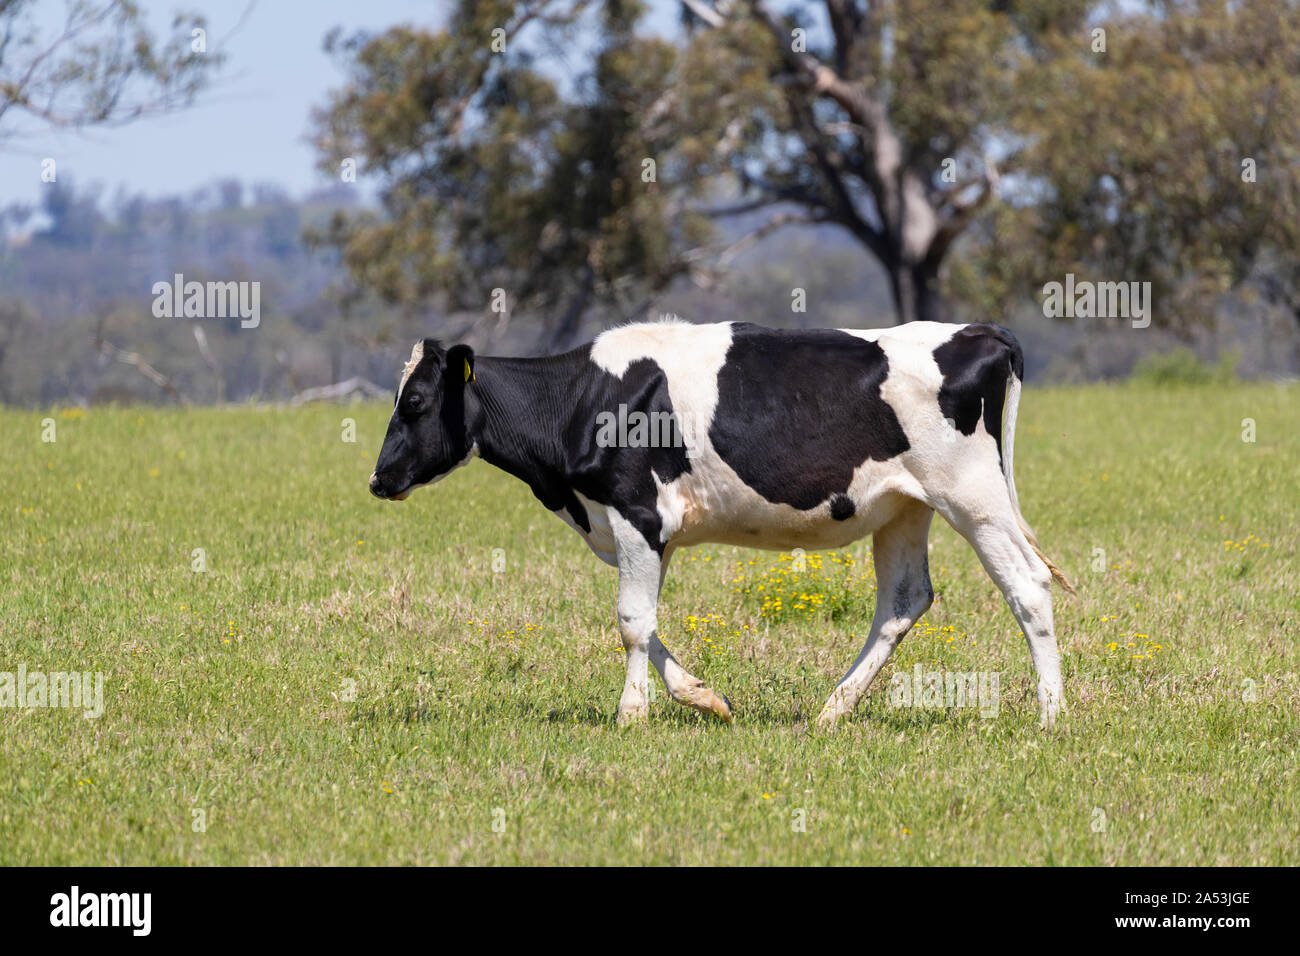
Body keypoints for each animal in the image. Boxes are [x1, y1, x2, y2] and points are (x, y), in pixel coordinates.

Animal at [369, 318, 1075, 728]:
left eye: (417, 400)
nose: (377, 480)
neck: (582, 399)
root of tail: (981, 331)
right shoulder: (652, 531)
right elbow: (649, 625)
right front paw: (705, 698)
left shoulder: (636, 511)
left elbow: (631, 622)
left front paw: (630, 716)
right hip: (904, 506)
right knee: (903, 602)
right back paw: (832, 710)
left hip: (974, 498)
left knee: (1028, 588)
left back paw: (1050, 716)